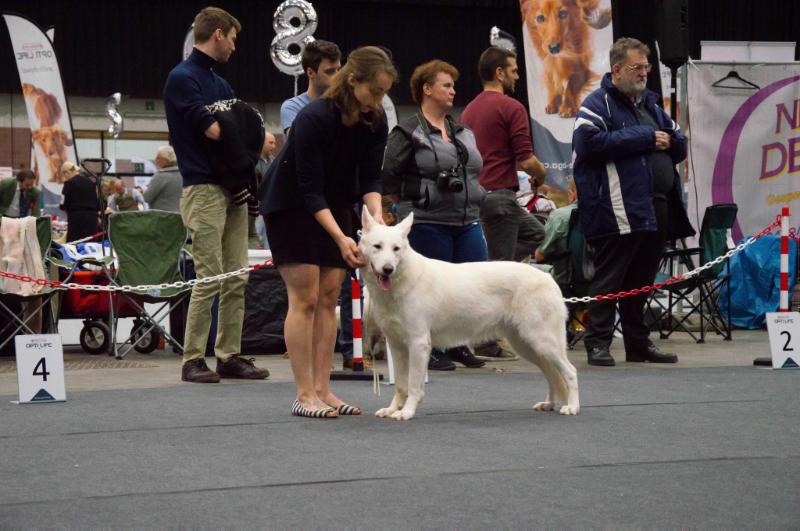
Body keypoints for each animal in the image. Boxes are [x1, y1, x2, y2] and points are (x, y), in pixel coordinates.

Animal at [360, 210, 580, 422]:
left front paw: (406, 412)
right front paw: (392, 410)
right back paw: (548, 404)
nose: (388, 269)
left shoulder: (418, 343)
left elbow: (413, 386)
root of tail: (549, 278)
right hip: (529, 346)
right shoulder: (396, 345)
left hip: (543, 343)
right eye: (377, 246)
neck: (401, 281)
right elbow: (400, 385)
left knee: (570, 372)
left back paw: (572, 407)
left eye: (396, 249)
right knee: (552, 375)